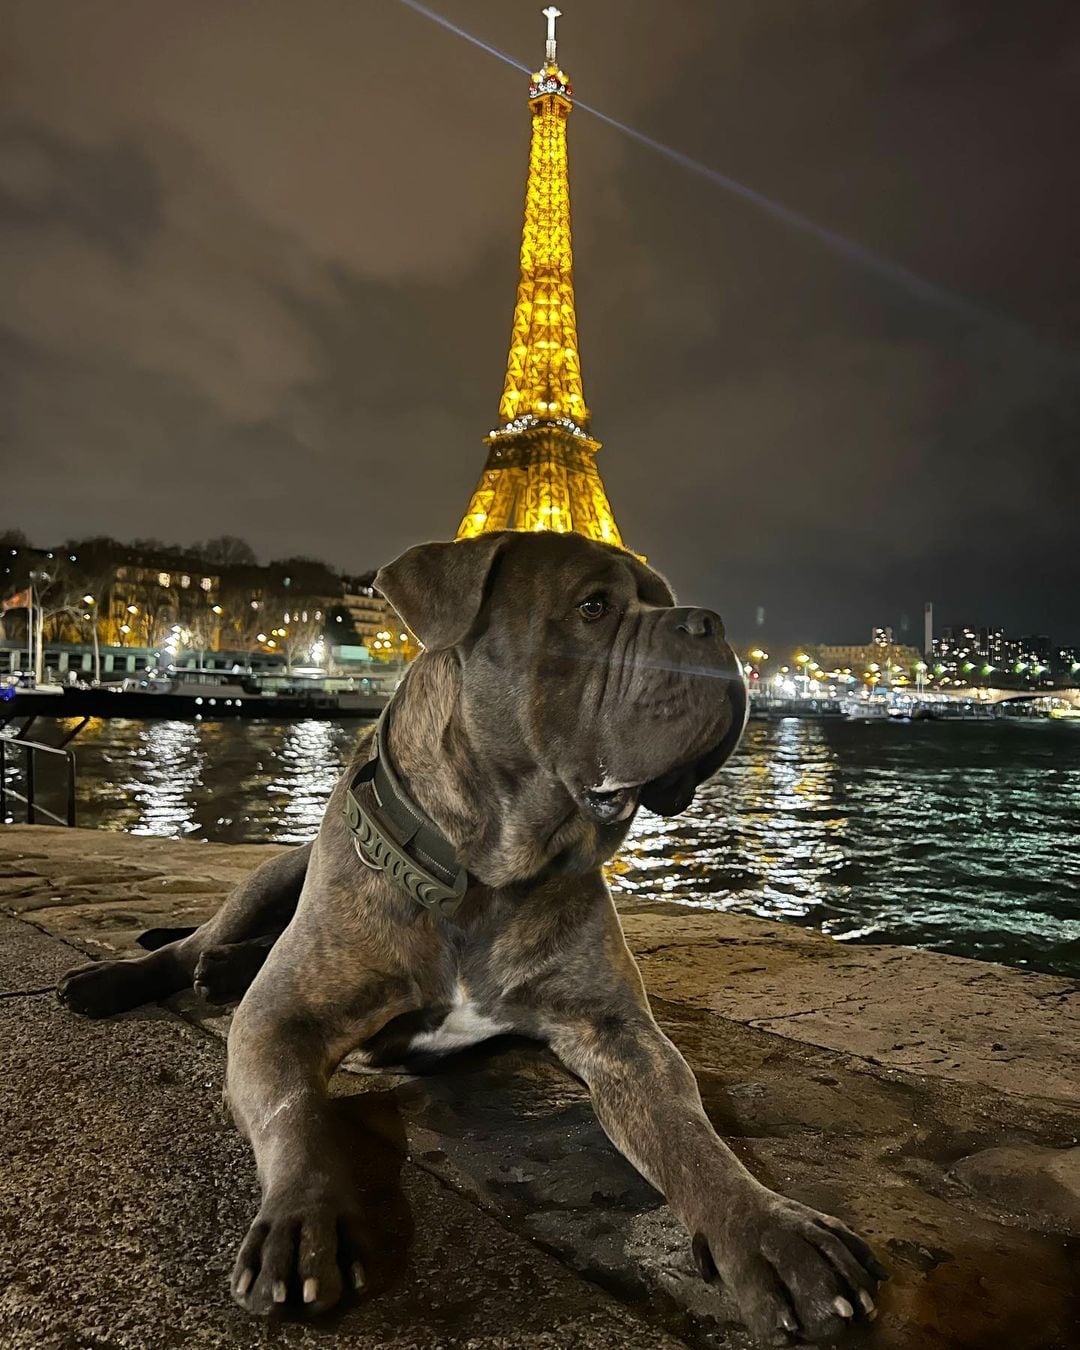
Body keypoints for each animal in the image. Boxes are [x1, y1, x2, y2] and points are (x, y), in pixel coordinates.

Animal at [57, 531, 885, 1344]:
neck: (487, 869)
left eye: (667, 601)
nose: (708, 623)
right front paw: (302, 1216)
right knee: (191, 944)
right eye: (593, 608)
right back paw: (123, 978)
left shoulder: (620, 1035)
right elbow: (297, 1114)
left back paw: (224, 970)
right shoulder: (278, 1021)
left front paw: (768, 1229)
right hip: (271, 872)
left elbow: (689, 1136)